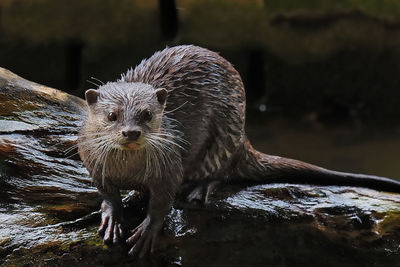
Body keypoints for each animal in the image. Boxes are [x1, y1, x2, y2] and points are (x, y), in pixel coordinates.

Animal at [77, 45, 400, 258]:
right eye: (112, 116)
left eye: (146, 114)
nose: (131, 132)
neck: (128, 169)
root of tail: (243, 138)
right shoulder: (92, 162)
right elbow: (107, 192)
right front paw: (111, 216)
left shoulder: (169, 166)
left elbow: (162, 201)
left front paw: (147, 230)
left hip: (226, 133)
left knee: (220, 170)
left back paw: (198, 189)